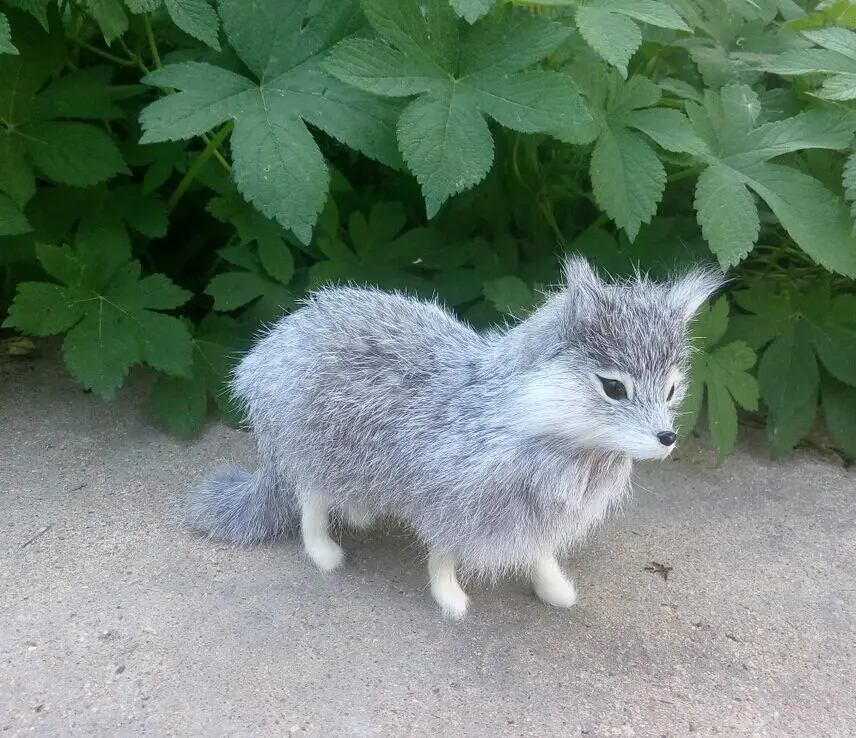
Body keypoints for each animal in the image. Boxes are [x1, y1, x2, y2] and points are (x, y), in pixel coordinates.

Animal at [186, 256, 723, 618]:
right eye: (613, 388)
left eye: (672, 389)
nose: (667, 438)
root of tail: (273, 348)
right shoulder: (449, 497)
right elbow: (443, 554)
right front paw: (450, 600)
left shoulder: (531, 512)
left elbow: (539, 554)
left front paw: (554, 590)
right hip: (317, 451)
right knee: (310, 501)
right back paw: (324, 552)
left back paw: (359, 510)